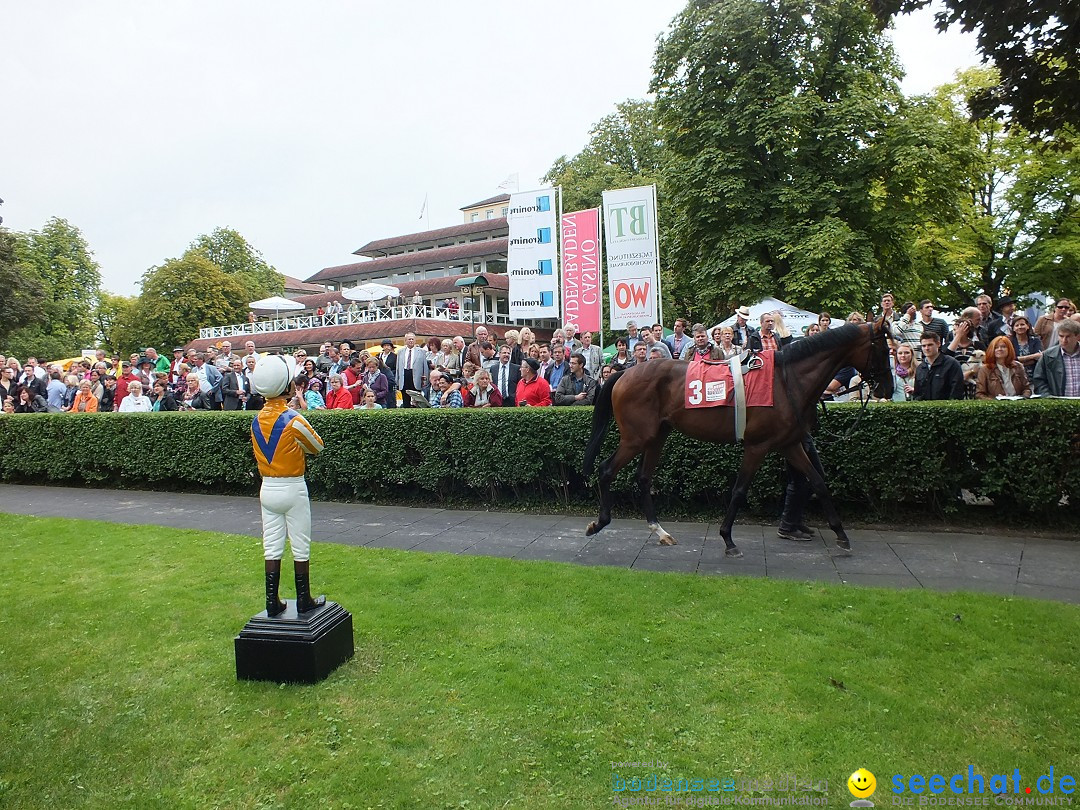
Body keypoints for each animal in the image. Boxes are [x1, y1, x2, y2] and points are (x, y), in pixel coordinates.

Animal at [583, 321, 894, 557]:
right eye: (882, 347)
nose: (887, 388)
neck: (787, 380)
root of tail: (624, 373)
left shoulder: (789, 444)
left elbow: (818, 482)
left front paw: (841, 535)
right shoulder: (758, 446)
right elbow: (740, 490)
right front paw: (728, 539)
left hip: (657, 436)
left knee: (644, 478)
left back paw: (660, 531)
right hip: (636, 438)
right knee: (606, 469)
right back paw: (599, 522)